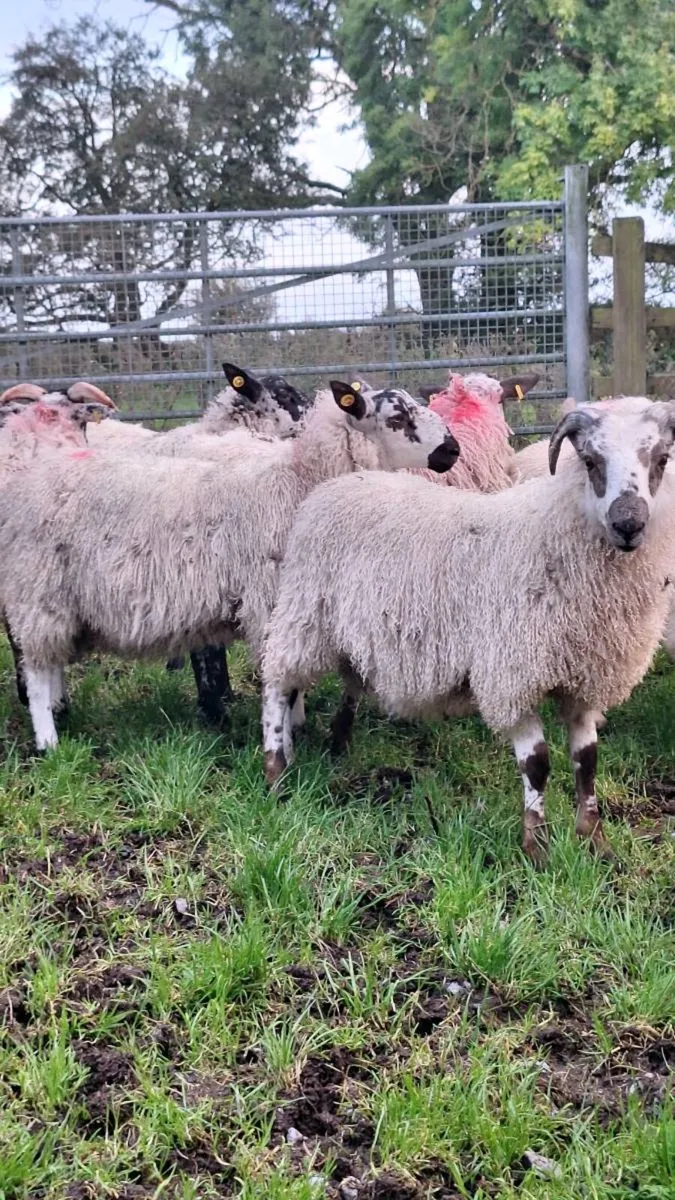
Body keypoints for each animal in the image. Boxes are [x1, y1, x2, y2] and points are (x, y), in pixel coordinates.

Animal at [0, 379, 457, 751]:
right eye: (398, 416)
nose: (452, 450)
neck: (297, 482)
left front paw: (297, 725)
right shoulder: (271, 603)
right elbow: (282, 680)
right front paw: (287, 734)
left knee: (48, 661)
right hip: (37, 592)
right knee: (35, 671)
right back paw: (49, 743)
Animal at [260, 395, 675, 866]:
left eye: (661, 458)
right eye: (590, 460)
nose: (628, 524)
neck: (554, 533)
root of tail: (339, 483)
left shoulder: (586, 680)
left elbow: (587, 760)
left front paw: (595, 841)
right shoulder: (511, 676)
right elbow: (537, 765)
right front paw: (537, 848)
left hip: (347, 630)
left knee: (348, 679)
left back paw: (337, 747)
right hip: (305, 616)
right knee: (278, 685)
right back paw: (276, 772)